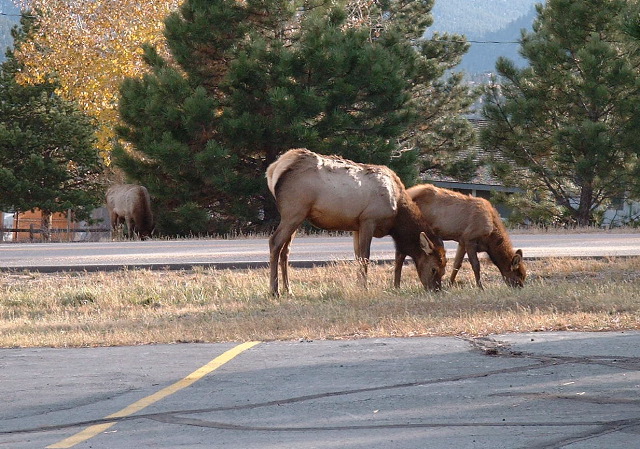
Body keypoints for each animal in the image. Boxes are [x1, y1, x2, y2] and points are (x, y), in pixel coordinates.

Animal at [264, 148, 444, 294]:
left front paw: (359, 285)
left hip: (298, 215)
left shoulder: (356, 226)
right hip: (294, 211)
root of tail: (273, 170)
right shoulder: (368, 219)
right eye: (434, 269)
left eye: (444, 269)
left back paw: (288, 290)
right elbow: (365, 256)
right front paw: (364, 287)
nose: (436, 290)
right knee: (275, 242)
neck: (397, 215)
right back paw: (274, 291)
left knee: (285, 250)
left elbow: (357, 256)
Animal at [396, 184, 524, 288]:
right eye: (518, 275)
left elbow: (457, 264)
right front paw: (480, 287)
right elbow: (476, 265)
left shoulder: (462, 241)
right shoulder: (469, 239)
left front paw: (450, 284)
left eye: (523, 275)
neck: (490, 241)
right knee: (401, 254)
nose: (521, 287)